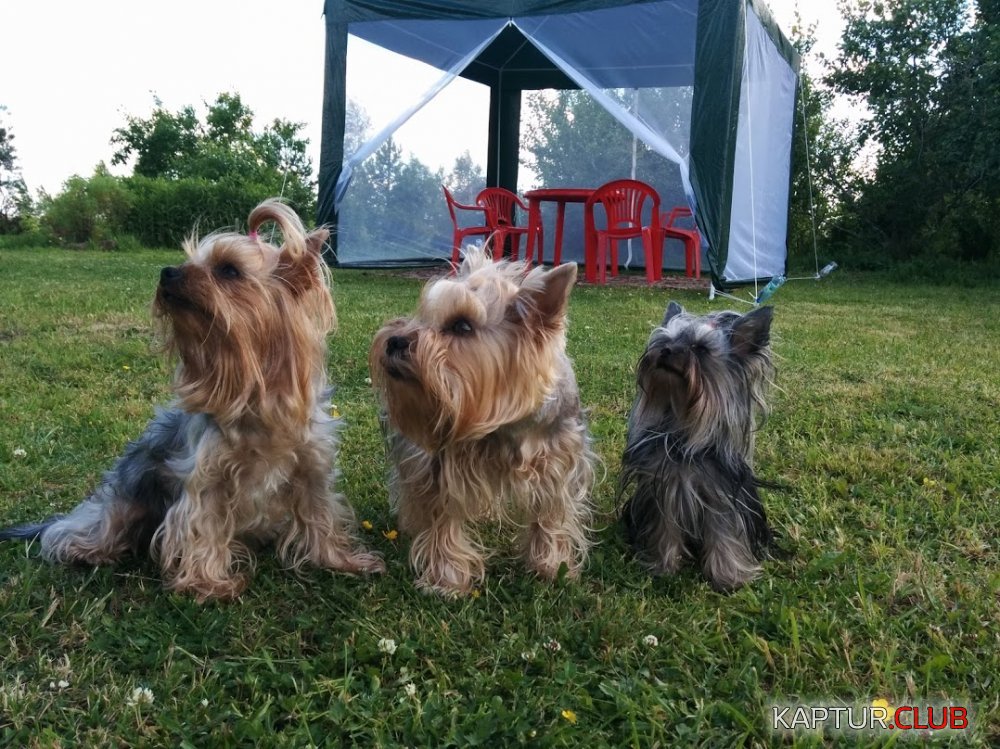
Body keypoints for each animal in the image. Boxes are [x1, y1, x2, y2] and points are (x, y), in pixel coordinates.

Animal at [0, 199, 383, 600]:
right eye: (187, 260)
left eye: (228, 270)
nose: (167, 272)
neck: (256, 397)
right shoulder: (207, 476)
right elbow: (203, 525)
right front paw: (209, 583)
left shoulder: (312, 467)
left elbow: (321, 514)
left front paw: (343, 561)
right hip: (128, 491)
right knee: (86, 525)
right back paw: (85, 549)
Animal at [369, 249, 596, 596]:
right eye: (423, 315)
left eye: (462, 326)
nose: (394, 340)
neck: (503, 424)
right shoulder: (438, 466)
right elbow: (441, 520)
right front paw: (446, 580)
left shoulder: (559, 460)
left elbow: (551, 512)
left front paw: (550, 566)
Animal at [620, 301, 776, 590]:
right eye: (666, 340)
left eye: (701, 349)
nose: (666, 350)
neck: (683, 432)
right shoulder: (663, 490)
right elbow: (664, 527)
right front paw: (664, 566)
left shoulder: (722, 495)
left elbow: (725, 533)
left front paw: (728, 577)